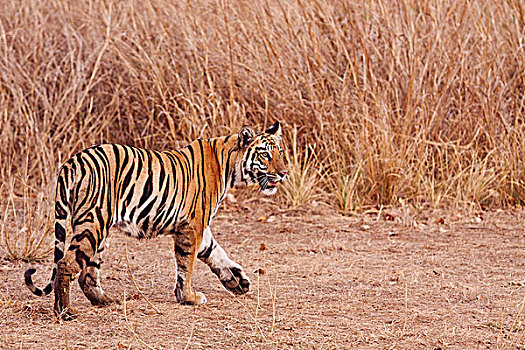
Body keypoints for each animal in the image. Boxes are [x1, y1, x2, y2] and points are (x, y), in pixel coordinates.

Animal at [24, 122, 286, 320]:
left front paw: (237, 282)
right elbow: (187, 265)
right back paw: (65, 312)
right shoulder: (193, 225)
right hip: (93, 223)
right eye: (265, 154)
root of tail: (72, 161)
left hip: (99, 229)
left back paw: (106, 301)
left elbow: (215, 253)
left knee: (87, 274)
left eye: (280, 153)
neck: (230, 167)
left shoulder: (199, 227)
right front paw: (189, 297)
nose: (283, 173)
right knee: (66, 265)